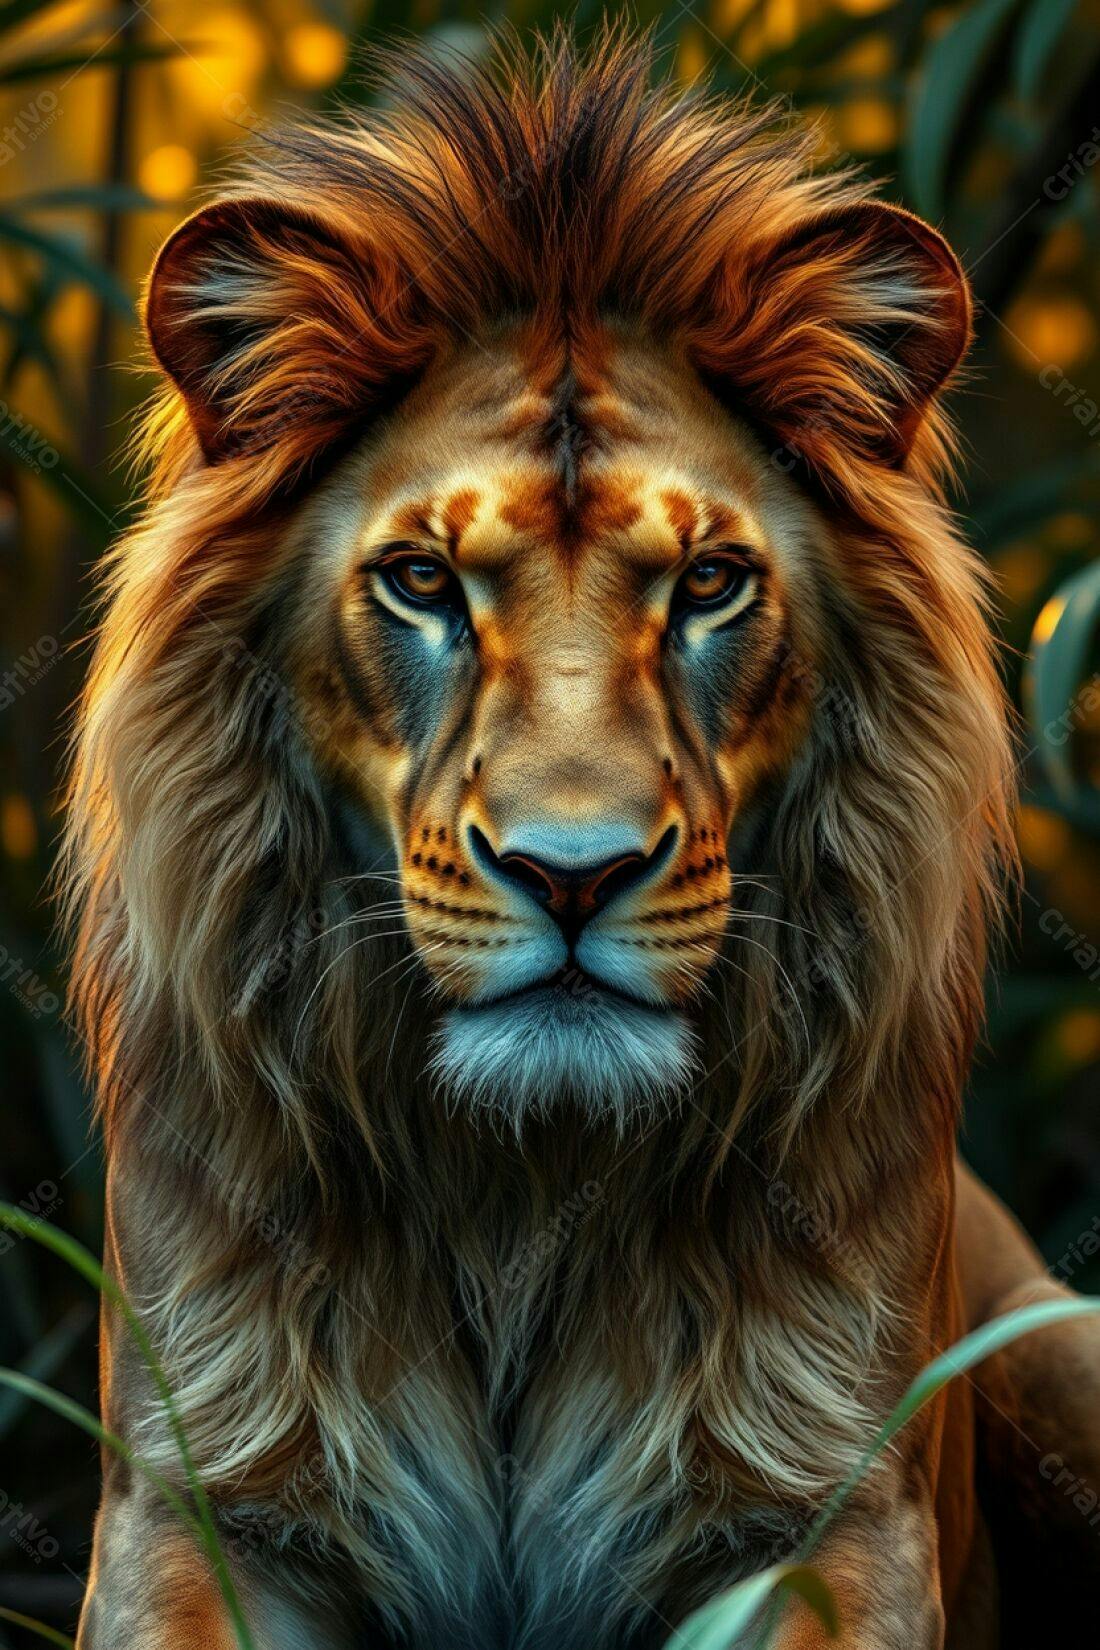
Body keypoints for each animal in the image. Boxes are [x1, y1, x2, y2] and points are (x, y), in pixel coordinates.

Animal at [64, 26, 1100, 1650]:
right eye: (423, 580)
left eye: (710, 584)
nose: (572, 873)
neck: (522, 1187)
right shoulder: (199, 1502)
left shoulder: (829, 1514)